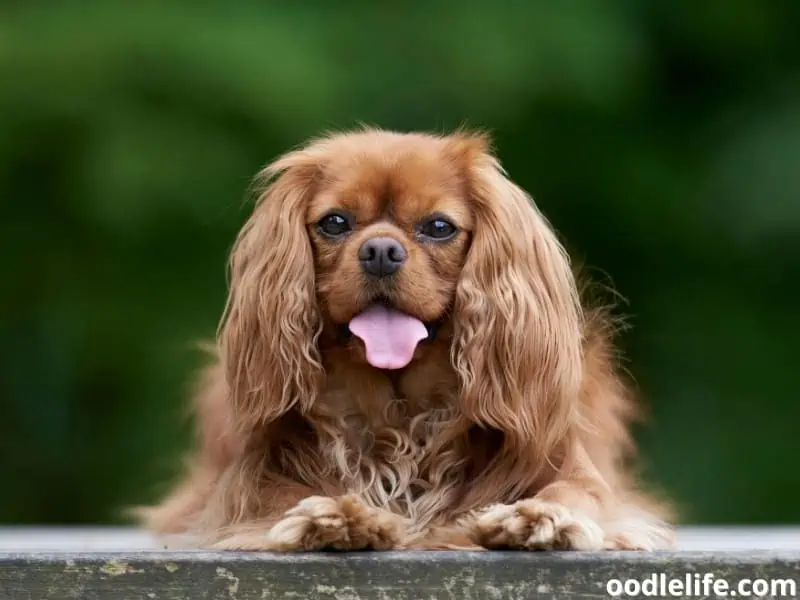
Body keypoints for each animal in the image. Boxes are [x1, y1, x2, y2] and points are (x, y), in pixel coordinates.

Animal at [139, 129, 676, 552]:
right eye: (335, 222)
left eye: (438, 227)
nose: (381, 250)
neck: (400, 412)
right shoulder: (247, 486)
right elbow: (278, 500)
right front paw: (335, 515)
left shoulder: (573, 471)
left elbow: (576, 494)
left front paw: (541, 518)